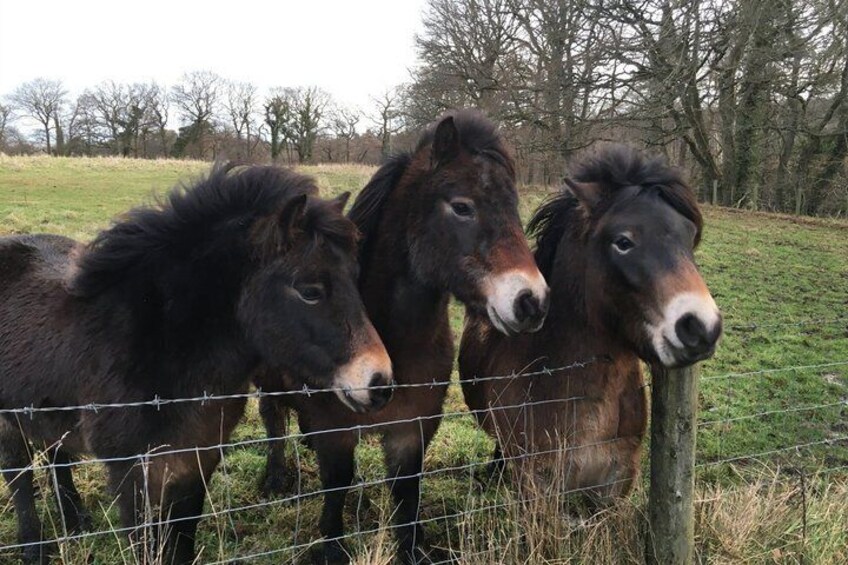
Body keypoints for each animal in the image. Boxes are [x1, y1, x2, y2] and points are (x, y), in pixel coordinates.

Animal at [0, 164, 393, 564]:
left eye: (355, 278)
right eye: (309, 291)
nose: (379, 381)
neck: (163, 350)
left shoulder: (196, 462)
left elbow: (182, 541)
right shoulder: (132, 476)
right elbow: (146, 545)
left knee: (56, 456)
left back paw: (75, 520)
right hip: (9, 424)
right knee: (19, 477)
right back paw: (34, 546)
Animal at [256, 109, 550, 563]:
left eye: (514, 207)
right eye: (461, 207)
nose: (531, 301)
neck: (394, 338)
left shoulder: (415, 426)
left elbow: (407, 489)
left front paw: (412, 548)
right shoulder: (336, 431)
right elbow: (337, 483)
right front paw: (332, 547)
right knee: (273, 420)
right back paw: (275, 478)